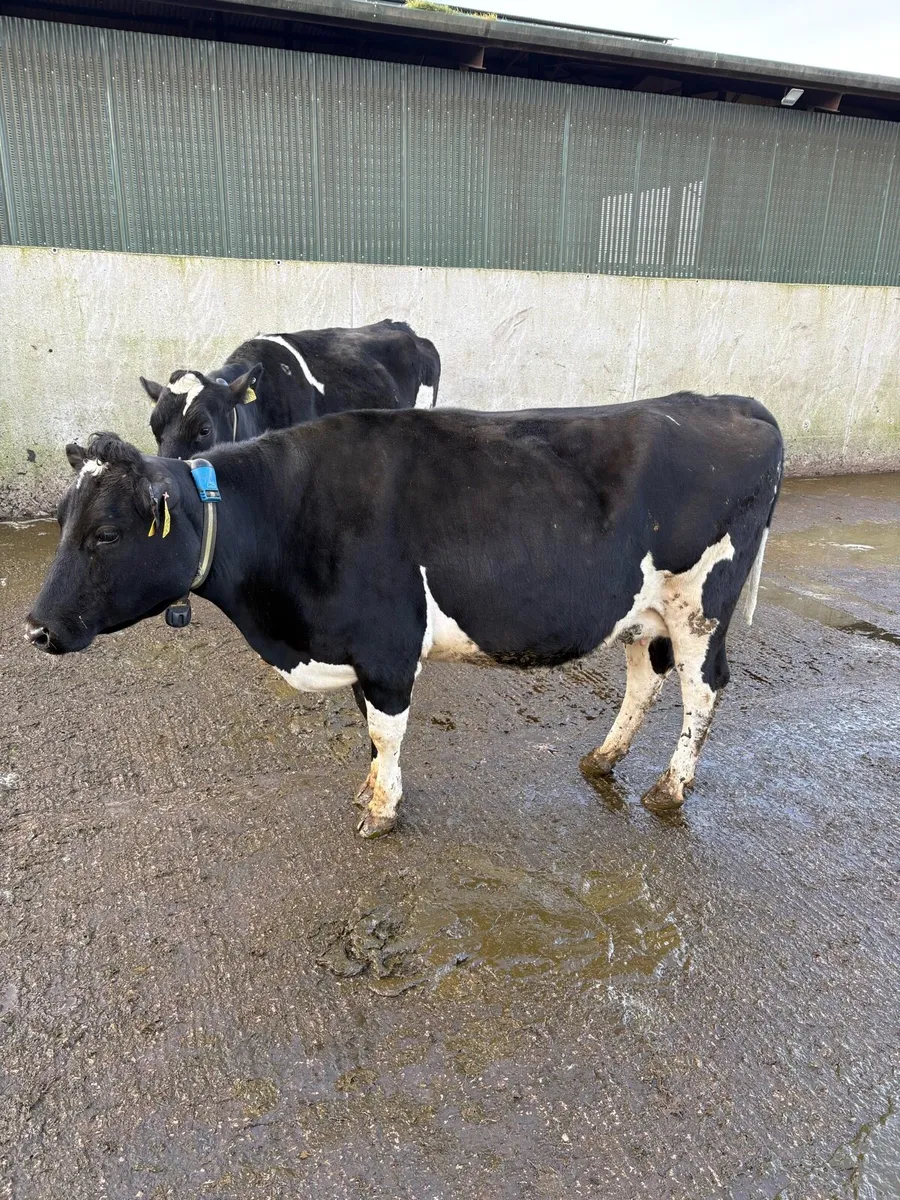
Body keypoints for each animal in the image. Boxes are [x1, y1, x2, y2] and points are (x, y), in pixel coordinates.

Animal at [26, 393, 783, 839]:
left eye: (106, 534)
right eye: (62, 521)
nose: (36, 627)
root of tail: (725, 402)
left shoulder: (386, 646)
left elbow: (384, 731)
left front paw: (382, 810)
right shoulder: (356, 649)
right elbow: (366, 726)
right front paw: (369, 793)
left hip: (700, 604)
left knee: (702, 688)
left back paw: (669, 790)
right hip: (644, 609)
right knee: (644, 677)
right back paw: (603, 760)